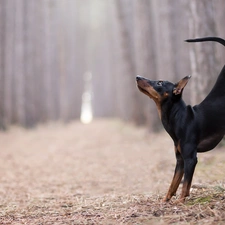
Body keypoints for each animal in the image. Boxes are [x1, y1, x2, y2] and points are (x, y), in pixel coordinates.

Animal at [135, 36, 225, 202]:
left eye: (160, 82)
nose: (137, 76)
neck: (178, 117)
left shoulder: (190, 158)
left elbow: (185, 185)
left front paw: (181, 202)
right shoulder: (180, 160)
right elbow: (173, 184)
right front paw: (165, 201)